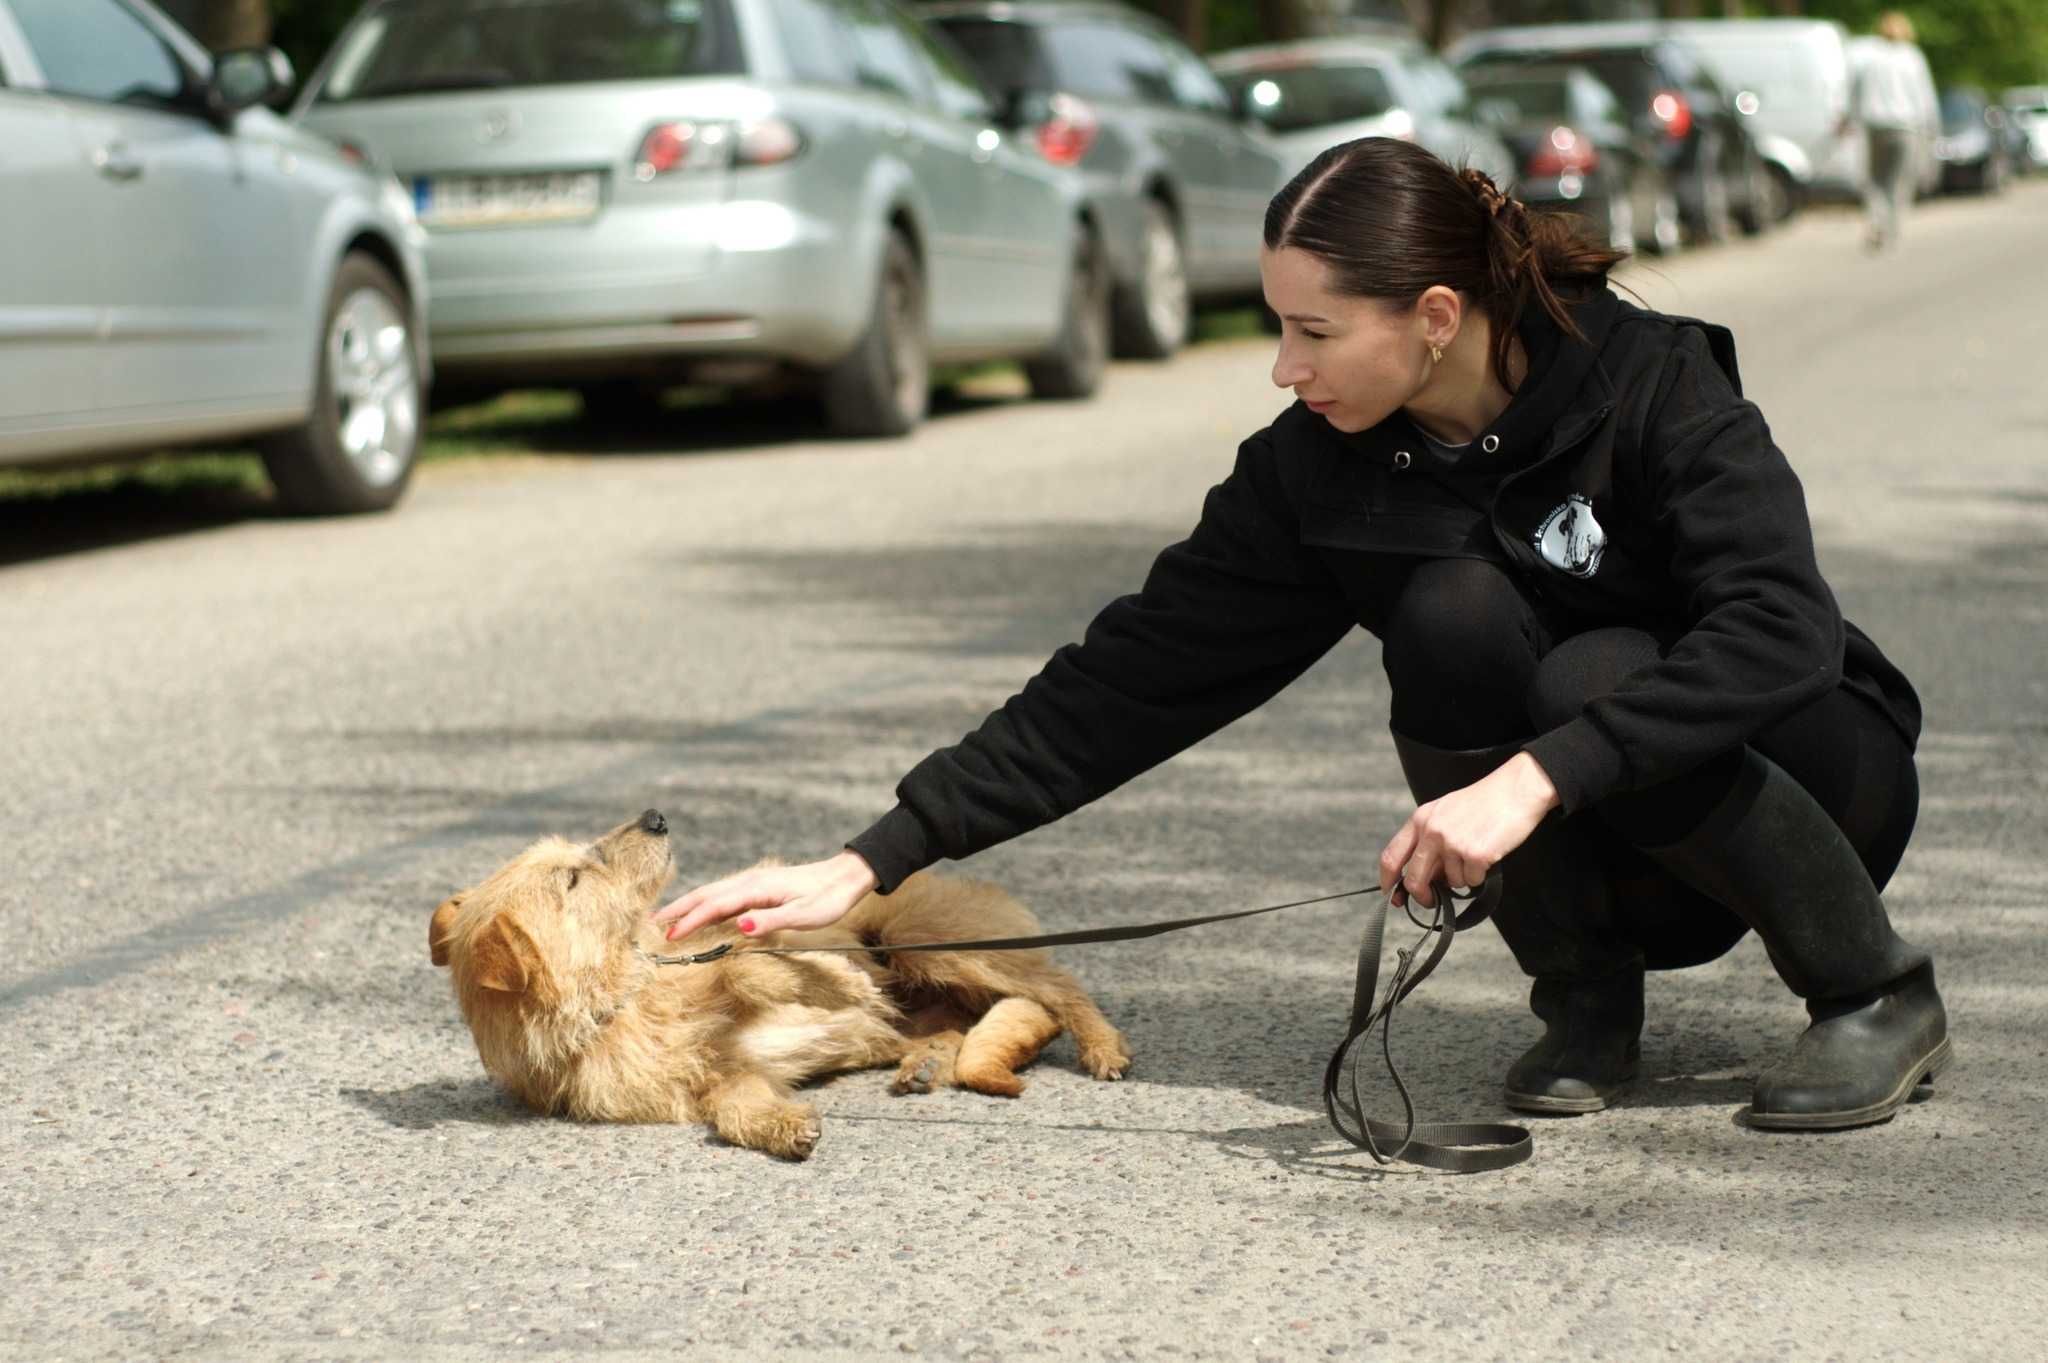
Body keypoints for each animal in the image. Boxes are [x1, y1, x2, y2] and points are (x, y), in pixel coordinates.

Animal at [428, 806, 1138, 1154]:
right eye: (572, 879)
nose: (656, 817)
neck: (626, 1001)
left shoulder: (746, 942)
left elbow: (750, 966)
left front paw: (841, 986)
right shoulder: (727, 1078)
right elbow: (734, 1113)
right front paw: (783, 1130)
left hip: (925, 940)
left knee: (1057, 988)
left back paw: (1102, 1045)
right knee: (973, 1021)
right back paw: (927, 1062)